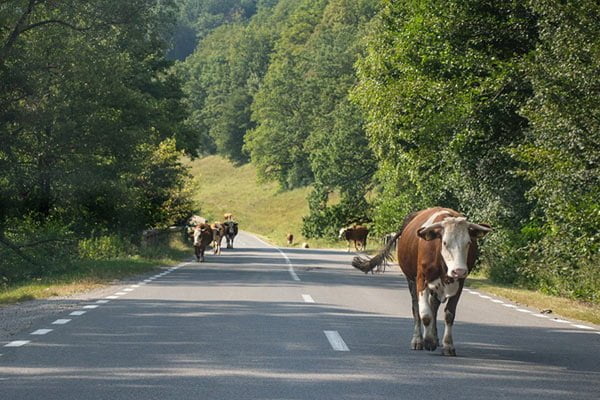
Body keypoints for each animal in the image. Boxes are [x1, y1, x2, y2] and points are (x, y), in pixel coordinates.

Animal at [352, 208, 492, 354]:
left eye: (468, 243)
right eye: (445, 243)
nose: (458, 270)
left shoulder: (459, 283)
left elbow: (449, 314)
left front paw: (448, 345)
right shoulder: (421, 279)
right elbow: (424, 314)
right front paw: (428, 341)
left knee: (433, 305)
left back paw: (435, 337)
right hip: (411, 280)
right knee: (416, 308)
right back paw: (418, 339)